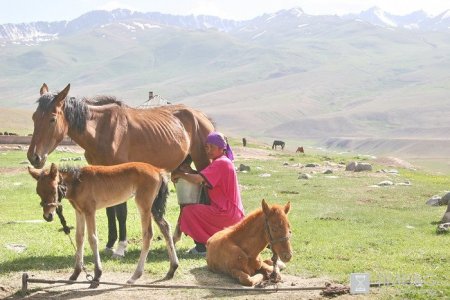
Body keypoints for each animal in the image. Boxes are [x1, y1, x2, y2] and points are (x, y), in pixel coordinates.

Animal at [26, 83, 214, 252]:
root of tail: (202, 117)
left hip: (202, 161)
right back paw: (178, 240)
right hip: (181, 167)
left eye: (52, 119)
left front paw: (121, 246)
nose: (34, 157)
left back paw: (200, 245)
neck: (101, 130)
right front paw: (110, 243)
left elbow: (121, 211)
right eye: (34, 117)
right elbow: (110, 210)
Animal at [27, 162, 179, 286]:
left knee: (148, 234)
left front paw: (97, 275)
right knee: (165, 227)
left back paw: (135, 276)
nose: (48, 216)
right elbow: (79, 238)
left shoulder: (90, 211)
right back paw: (172, 269)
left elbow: (92, 239)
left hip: (144, 205)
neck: (78, 182)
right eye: (38, 192)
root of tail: (158, 170)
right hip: (154, 207)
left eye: (53, 190)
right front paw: (75, 273)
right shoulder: (79, 212)